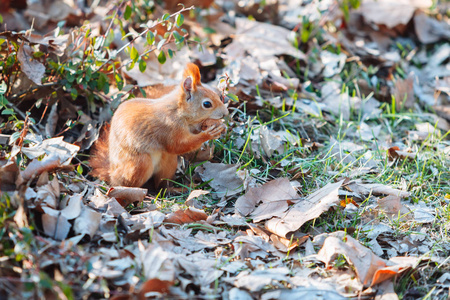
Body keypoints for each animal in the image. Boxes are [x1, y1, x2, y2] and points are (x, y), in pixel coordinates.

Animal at [89, 63, 229, 188]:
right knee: (129, 183)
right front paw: (208, 134)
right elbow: (179, 145)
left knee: (160, 183)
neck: (177, 111)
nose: (226, 113)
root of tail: (111, 174)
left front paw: (218, 125)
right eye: (207, 104)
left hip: (167, 162)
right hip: (139, 164)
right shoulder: (169, 127)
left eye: (217, 95)